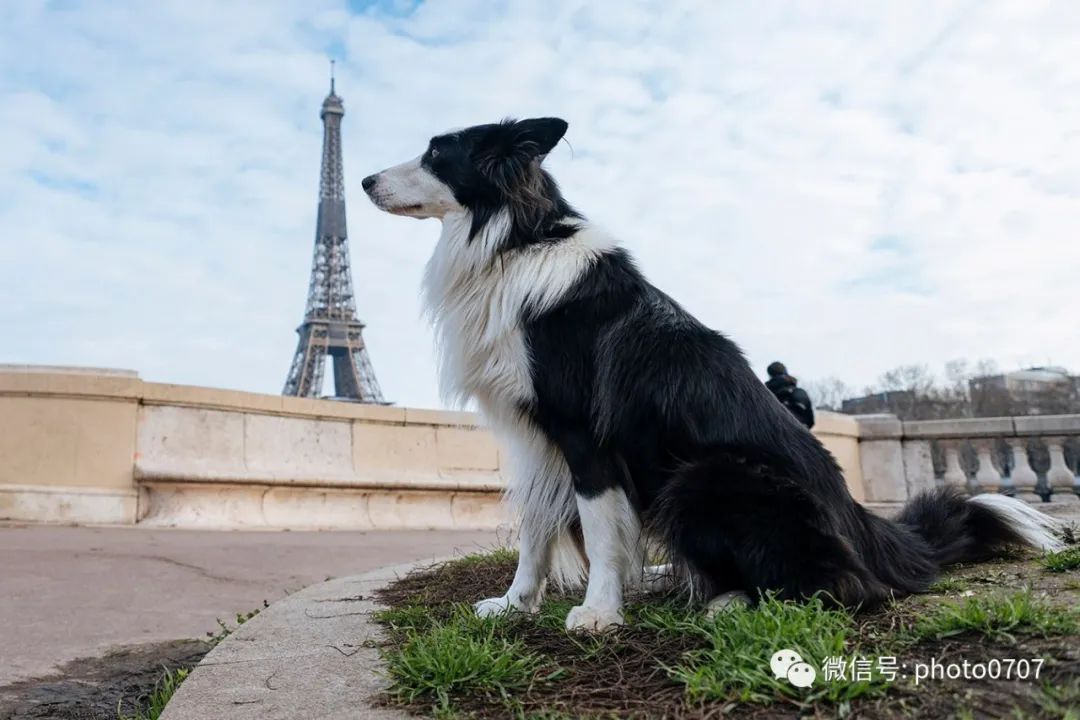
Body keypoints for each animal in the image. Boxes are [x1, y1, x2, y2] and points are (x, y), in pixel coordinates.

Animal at [362, 117, 1062, 630]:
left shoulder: (584, 434)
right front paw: (514, 605)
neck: (514, 240)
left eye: (436, 153)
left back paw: (728, 601)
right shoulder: (537, 436)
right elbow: (535, 529)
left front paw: (599, 612)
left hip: (705, 476)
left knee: (847, 587)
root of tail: (864, 526)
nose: (365, 179)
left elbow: (600, 529)